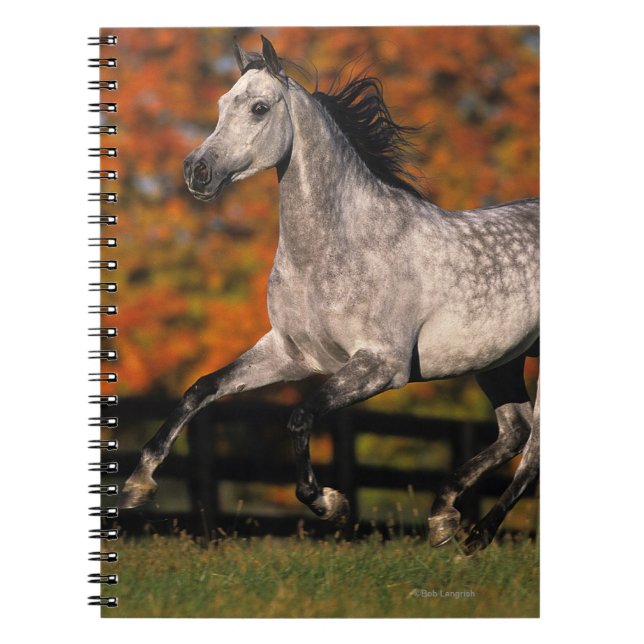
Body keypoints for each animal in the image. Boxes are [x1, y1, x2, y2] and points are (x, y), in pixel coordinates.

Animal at [119, 35, 540, 555]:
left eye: (259, 108)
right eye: (220, 104)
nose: (197, 171)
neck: (332, 249)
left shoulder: (381, 366)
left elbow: (301, 417)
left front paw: (330, 503)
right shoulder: (290, 353)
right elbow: (201, 388)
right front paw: (137, 485)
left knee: (533, 452)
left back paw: (477, 534)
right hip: (498, 361)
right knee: (515, 431)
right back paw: (443, 516)